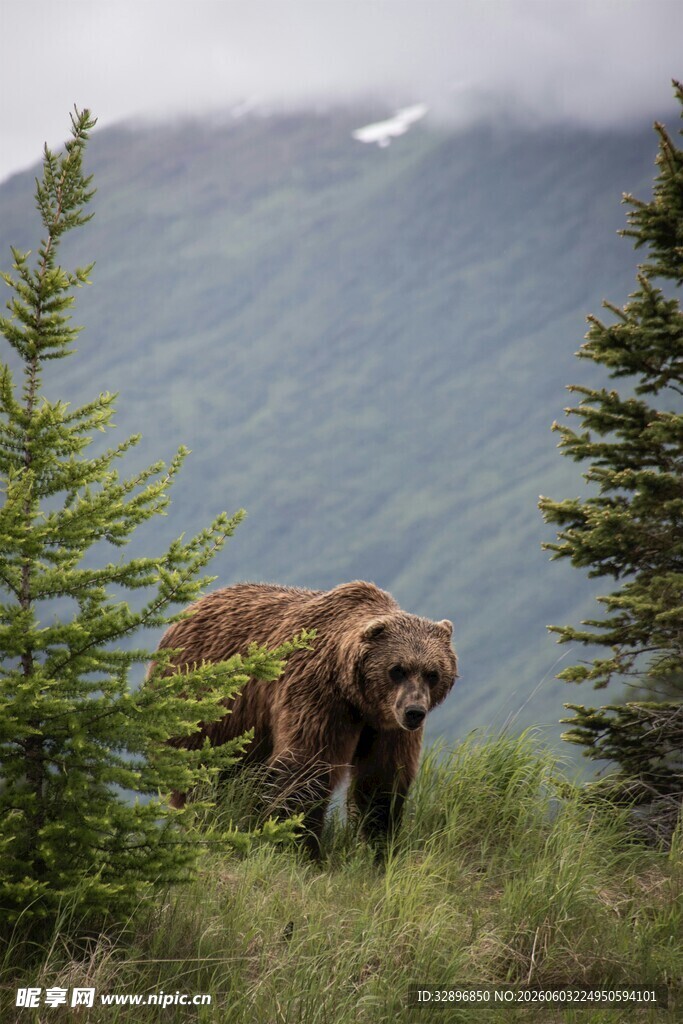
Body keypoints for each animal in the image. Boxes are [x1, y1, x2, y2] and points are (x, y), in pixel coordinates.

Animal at [152, 580, 458, 857]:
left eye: (432, 673)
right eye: (397, 669)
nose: (414, 711)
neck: (357, 698)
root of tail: (188, 611)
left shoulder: (386, 726)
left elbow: (381, 779)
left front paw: (378, 846)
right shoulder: (318, 696)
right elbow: (306, 767)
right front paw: (300, 846)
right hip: (207, 711)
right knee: (204, 776)